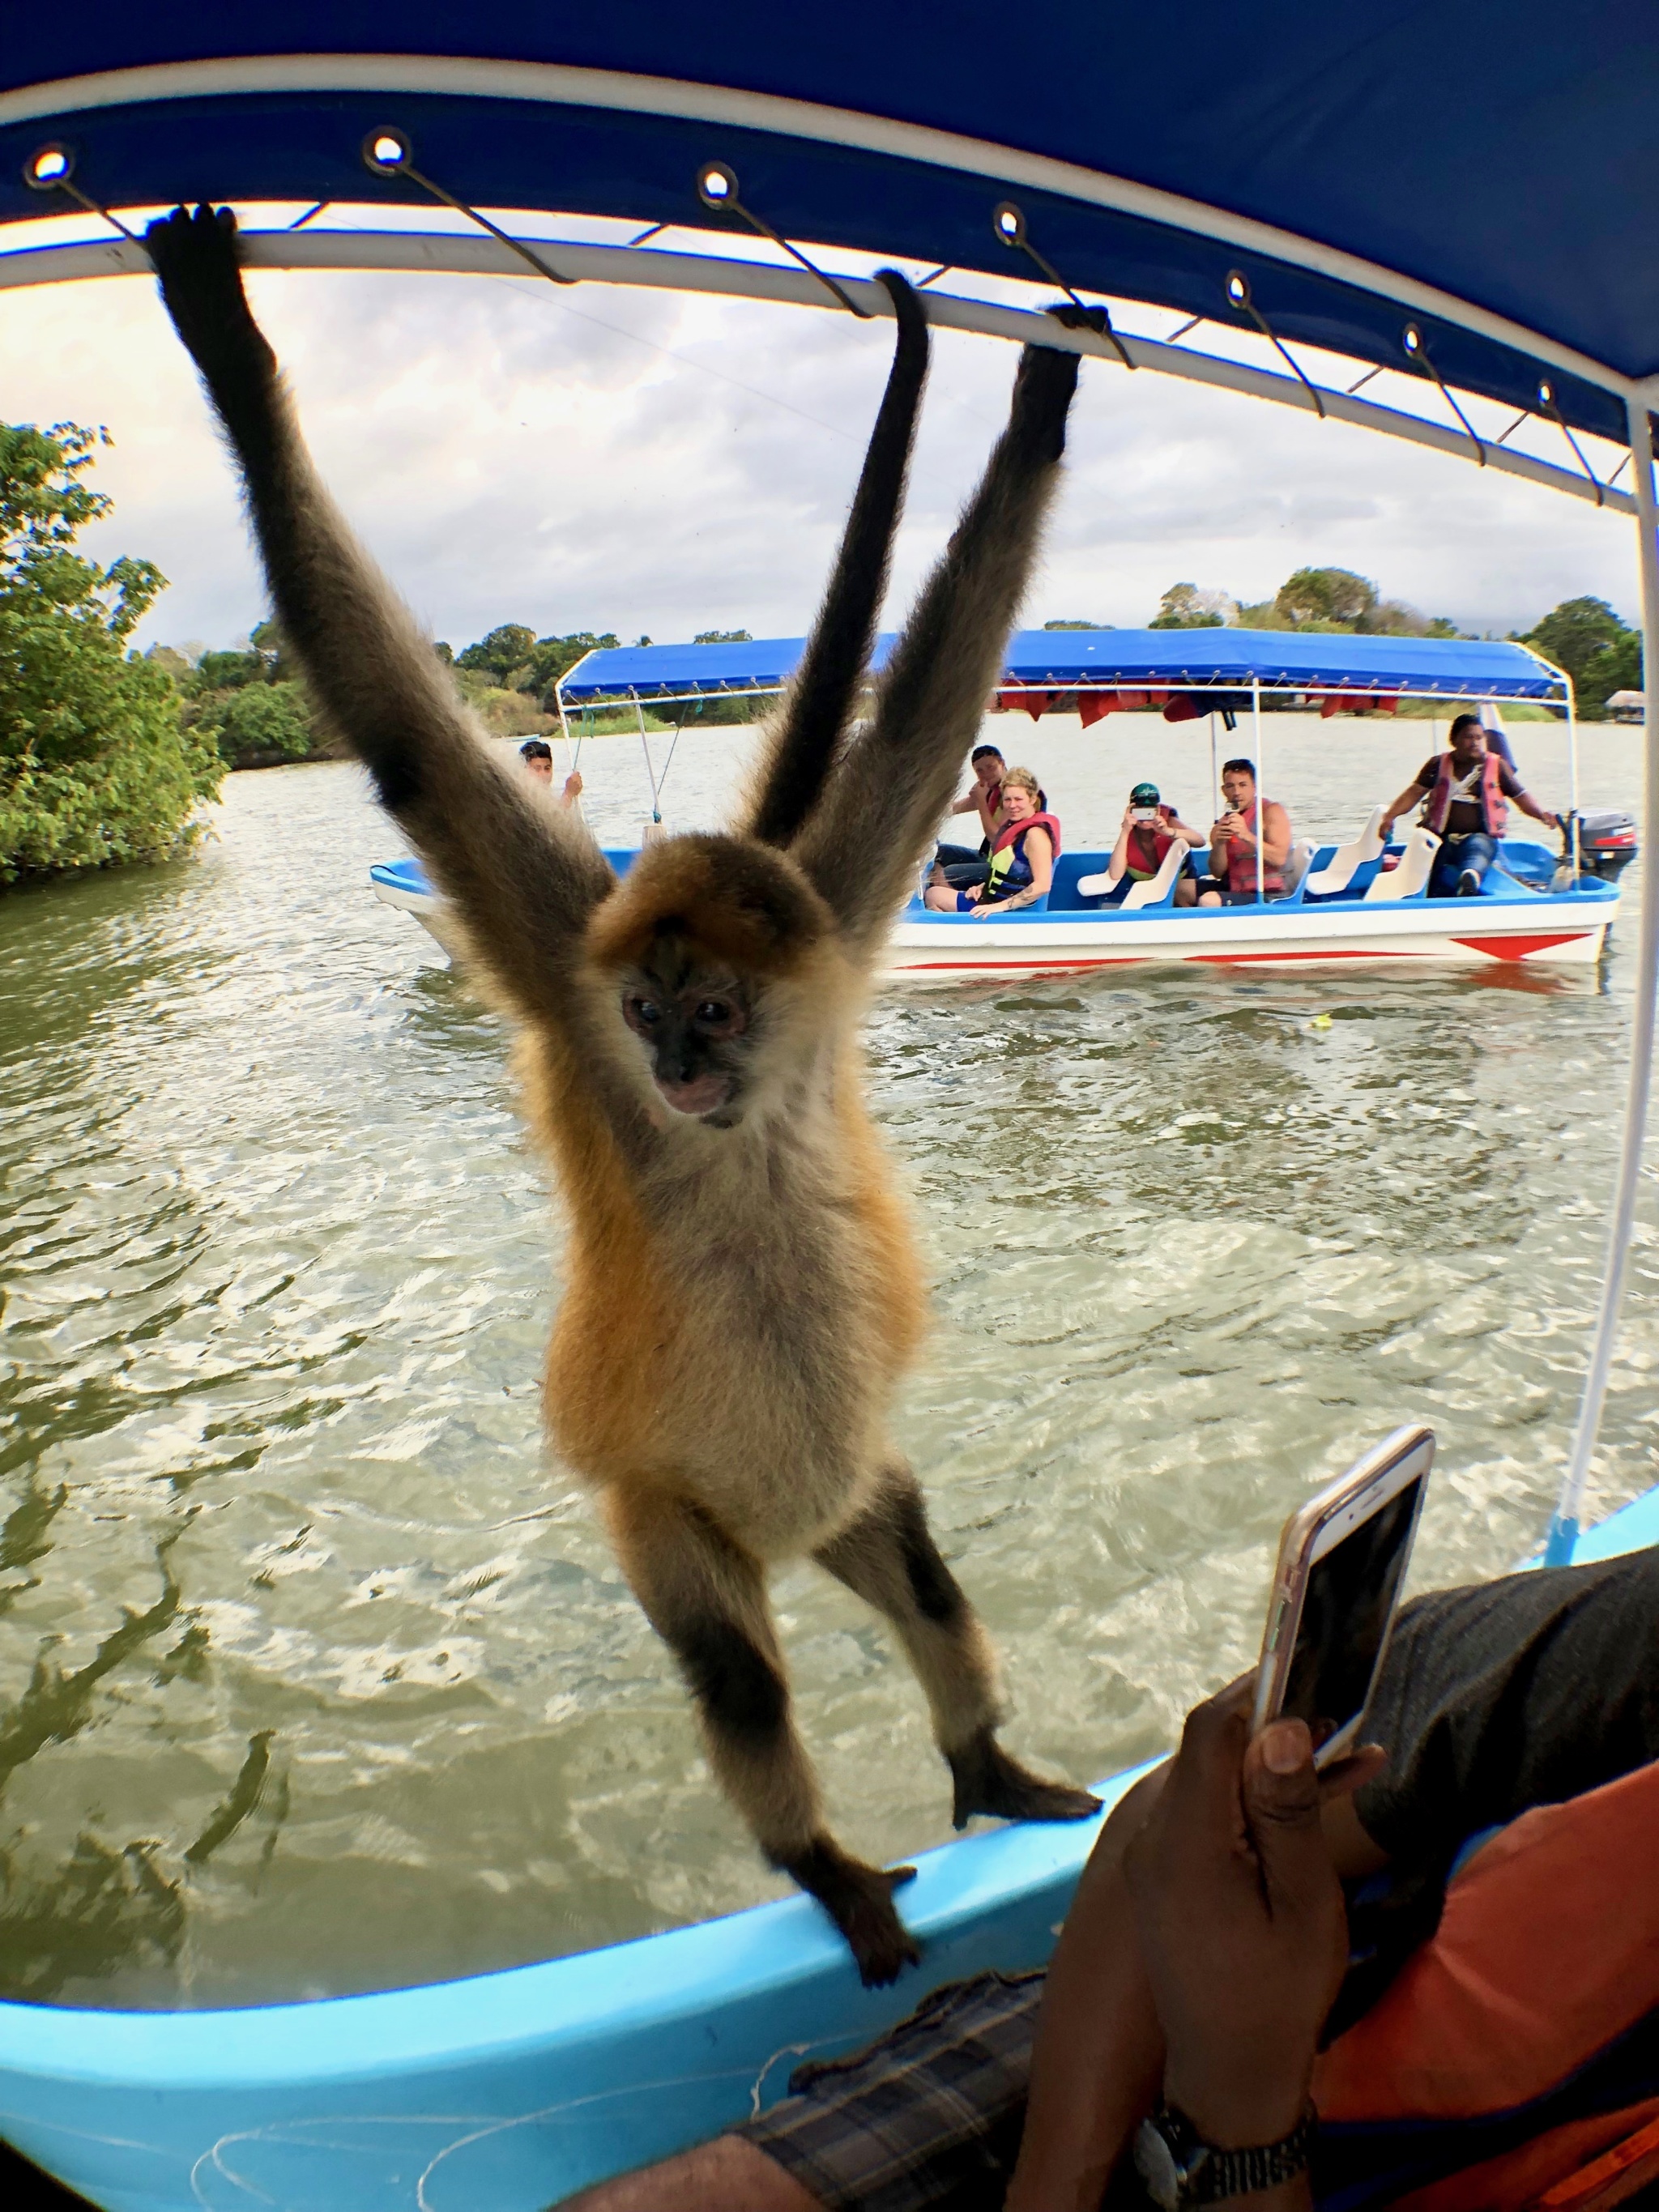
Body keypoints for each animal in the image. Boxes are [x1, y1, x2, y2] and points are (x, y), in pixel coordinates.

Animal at [143, 198, 1106, 1981]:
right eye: (651, 1015)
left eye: (713, 1012)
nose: (673, 1063)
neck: (737, 1117)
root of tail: (790, 1526)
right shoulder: (569, 981)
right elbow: (407, 745)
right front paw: (227, 344)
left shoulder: (828, 926)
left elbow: (930, 715)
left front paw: (1034, 402)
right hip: (678, 1519)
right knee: (740, 1673)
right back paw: (823, 1862)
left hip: (852, 1482)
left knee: (922, 1575)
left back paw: (981, 1757)